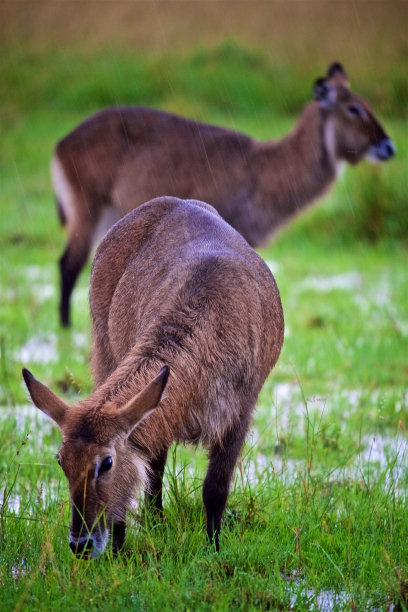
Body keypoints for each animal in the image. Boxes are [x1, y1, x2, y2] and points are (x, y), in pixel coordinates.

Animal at [22, 197, 284, 560]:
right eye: (61, 461)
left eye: (106, 462)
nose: (80, 543)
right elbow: (148, 473)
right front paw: (120, 550)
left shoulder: (239, 415)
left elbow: (215, 489)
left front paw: (214, 551)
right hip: (105, 350)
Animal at [54, 62, 396, 328]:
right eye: (354, 109)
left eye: (368, 104)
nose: (389, 147)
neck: (264, 168)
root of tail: (62, 142)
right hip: (88, 208)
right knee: (68, 263)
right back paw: (67, 329)